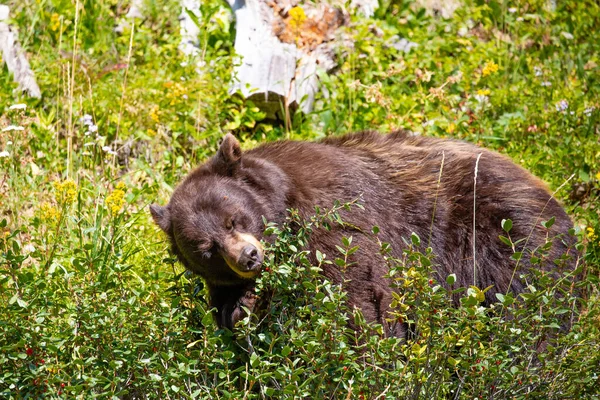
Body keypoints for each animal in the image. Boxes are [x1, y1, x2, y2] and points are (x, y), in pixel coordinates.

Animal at [151, 130, 576, 334]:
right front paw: (243, 311)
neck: (285, 200)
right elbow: (231, 315)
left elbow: (359, 294)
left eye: (233, 219)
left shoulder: (337, 221)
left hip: (499, 231)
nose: (248, 257)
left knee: (525, 298)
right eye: (206, 249)